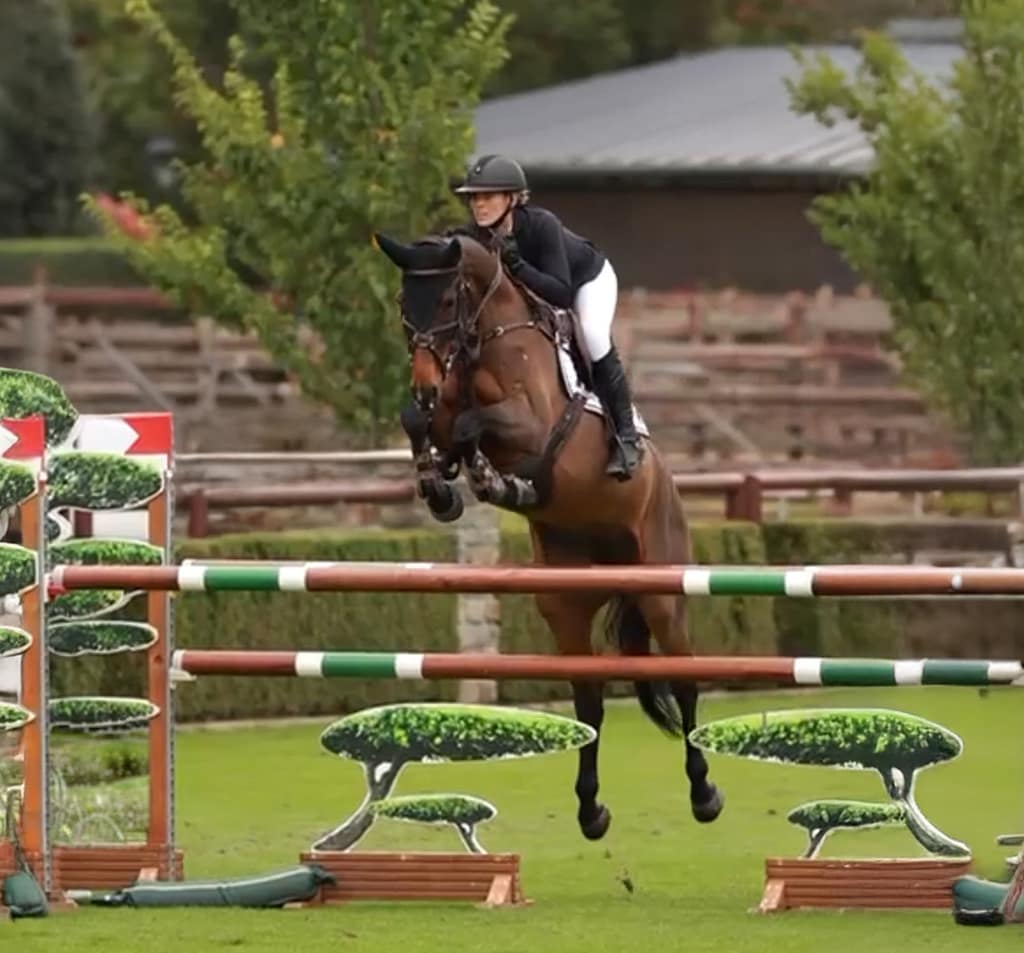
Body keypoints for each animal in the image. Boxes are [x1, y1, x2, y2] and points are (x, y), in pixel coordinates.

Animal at [374, 229, 724, 840]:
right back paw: (591, 810)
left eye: (447, 301)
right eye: (402, 305)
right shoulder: (439, 407)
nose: (423, 385)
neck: (481, 340)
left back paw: (704, 794)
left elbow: (474, 425)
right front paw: (441, 485)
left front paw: (490, 478)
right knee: (588, 699)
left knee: (683, 680)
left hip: (661, 590)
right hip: (565, 599)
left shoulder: (532, 425)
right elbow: (427, 425)